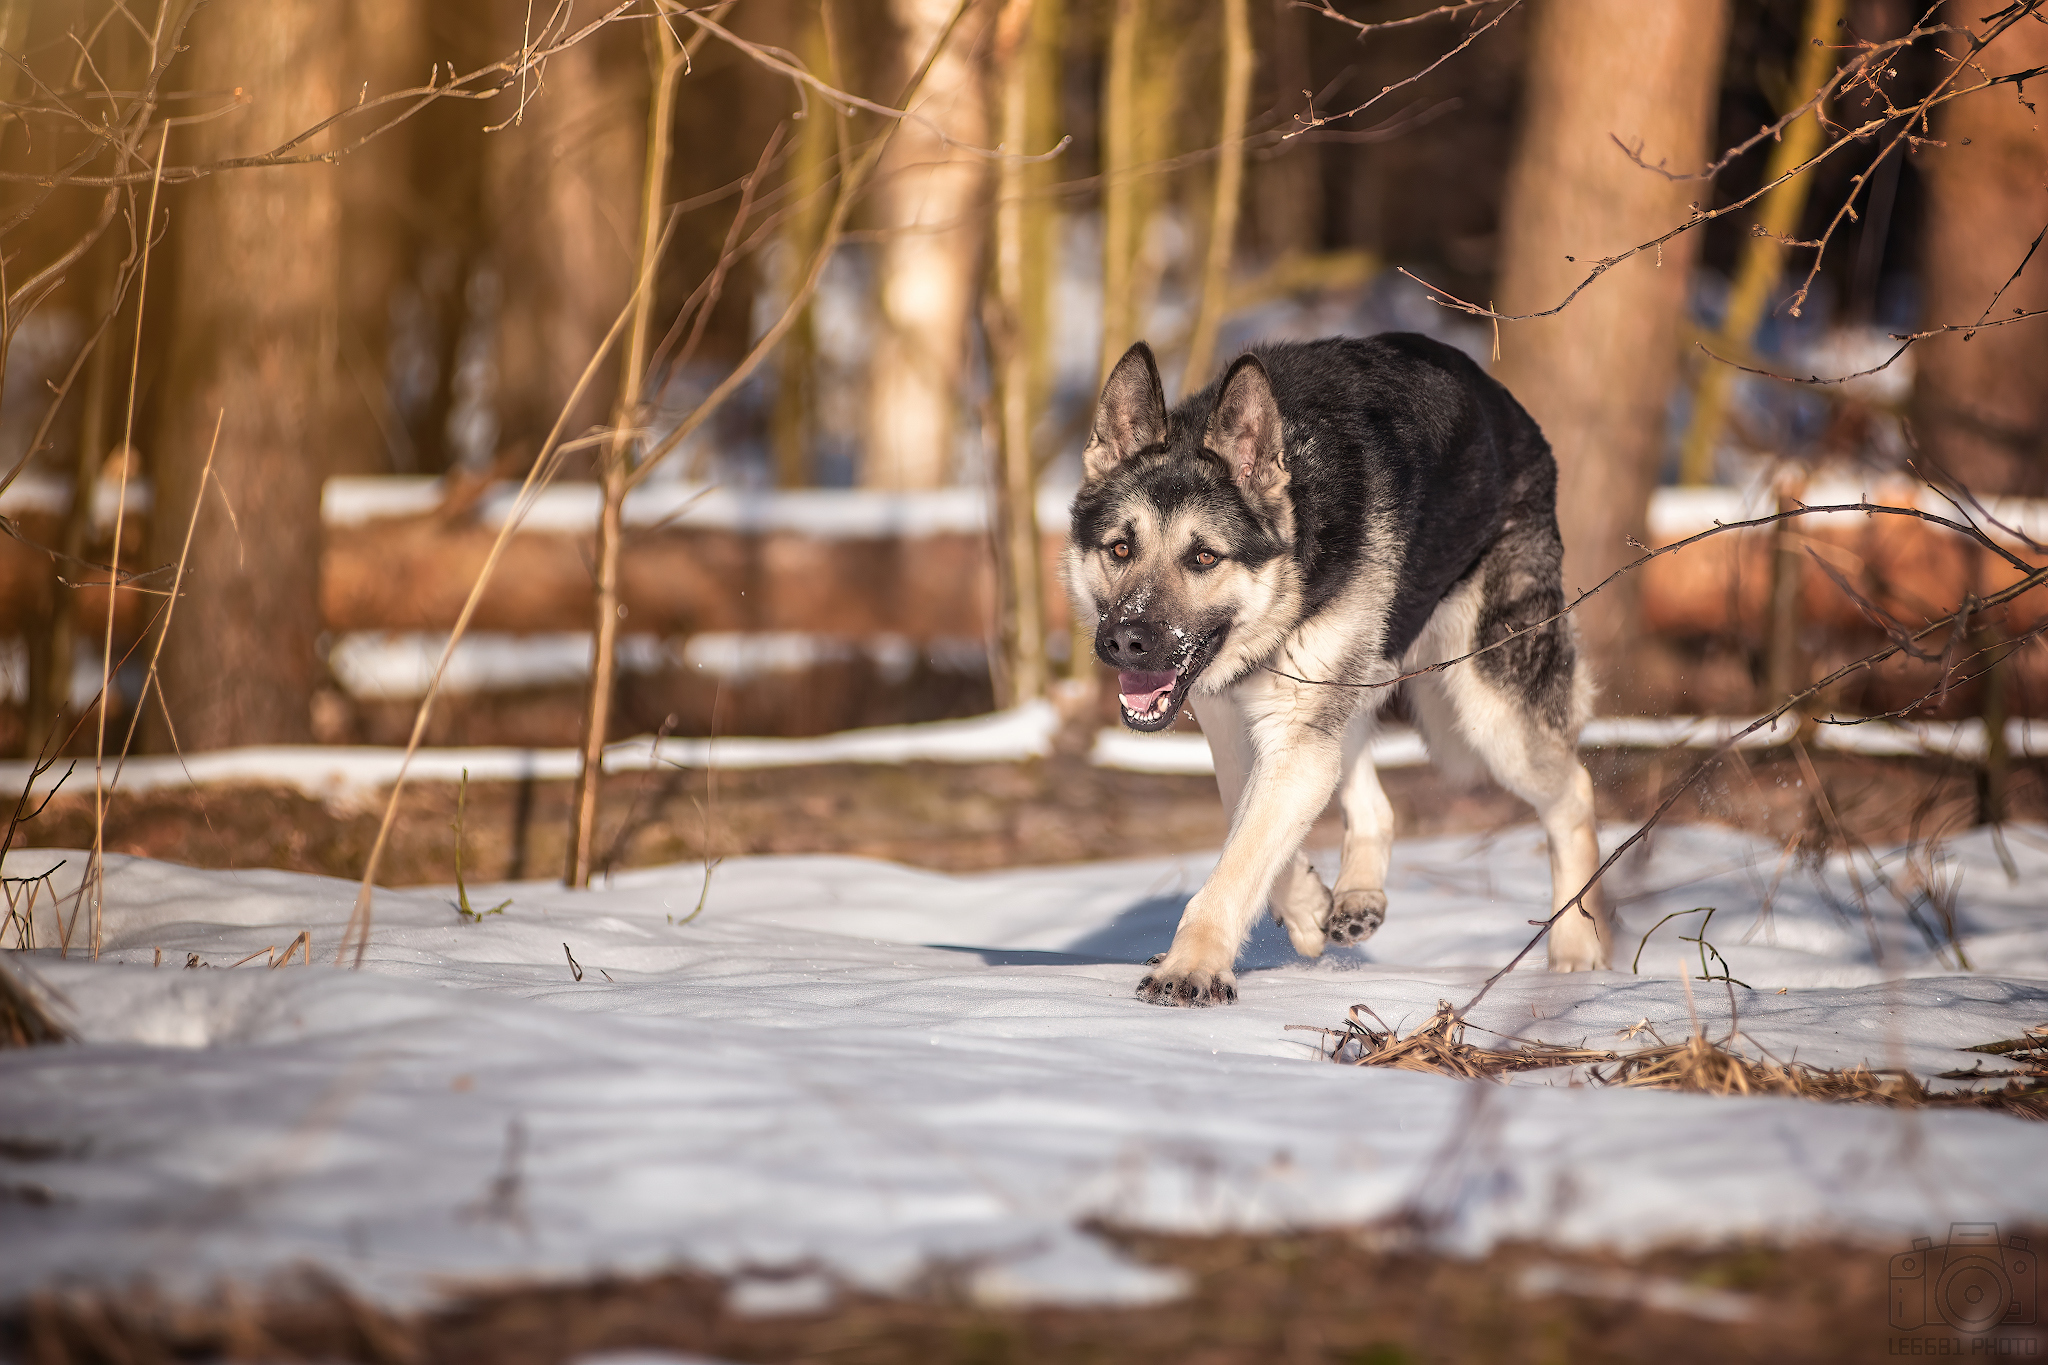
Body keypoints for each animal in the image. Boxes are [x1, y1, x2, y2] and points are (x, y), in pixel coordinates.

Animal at [1056, 335, 1613, 1010]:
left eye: (1204, 557)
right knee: (1377, 803)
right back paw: (1356, 896)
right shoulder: (1234, 724)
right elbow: (1247, 829)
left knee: (1574, 792)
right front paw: (1302, 906)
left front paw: (1190, 968)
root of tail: (1509, 405)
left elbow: (1239, 861)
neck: (1298, 551)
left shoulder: (1295, 736)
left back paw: (1576, 955)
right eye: (1120, 548)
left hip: (1489, 711)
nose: (1125, 642)